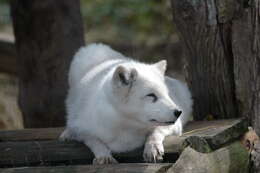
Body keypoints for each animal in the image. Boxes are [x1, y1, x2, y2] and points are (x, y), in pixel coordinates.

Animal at [60, 43, 192, 164]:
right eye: (151, 95)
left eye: (167, 94)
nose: (178, 112)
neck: (127, 125)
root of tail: (95, 46)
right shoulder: (82, 129)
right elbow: (94, 141)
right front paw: (104, 156)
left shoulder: (176, 126)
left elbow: (156, 131)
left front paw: (152, 148)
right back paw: (67, 134)